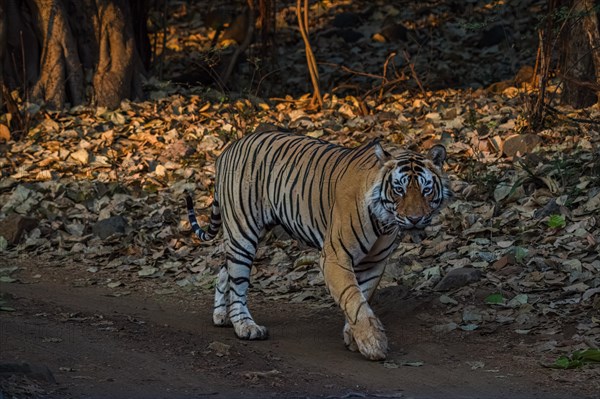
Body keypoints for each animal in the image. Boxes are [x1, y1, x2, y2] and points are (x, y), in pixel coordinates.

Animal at [186, 123, 450, 360]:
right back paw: (245, 327)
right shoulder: (335, 257)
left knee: (226, 269)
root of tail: (228, 149)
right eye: (398, 189)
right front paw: (373, 343)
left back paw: (221, 316)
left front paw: (353, 337)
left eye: (426, 190)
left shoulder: (374, 262)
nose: (415, 219)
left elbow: (362, 295)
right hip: (243, 229)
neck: (384, 220)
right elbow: (353, 298)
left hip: (251, 232)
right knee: (238, 280)